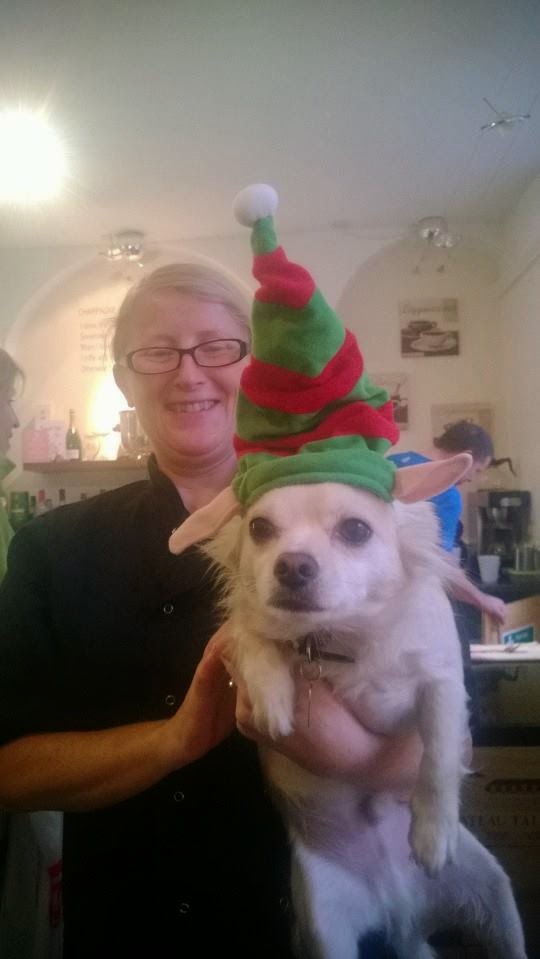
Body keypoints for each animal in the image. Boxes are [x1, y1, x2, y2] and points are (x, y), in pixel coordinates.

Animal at [172, 478, 527, 958]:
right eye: (259, 528)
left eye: (356, 530)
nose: (293, 564)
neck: (341, 637)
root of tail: (401, 913)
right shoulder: (241, 635)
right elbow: (254, 636)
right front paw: (272, 697)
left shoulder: (443, 685)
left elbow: (438, 756)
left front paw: (433, 833)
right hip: (328, 932)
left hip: (493, 896)